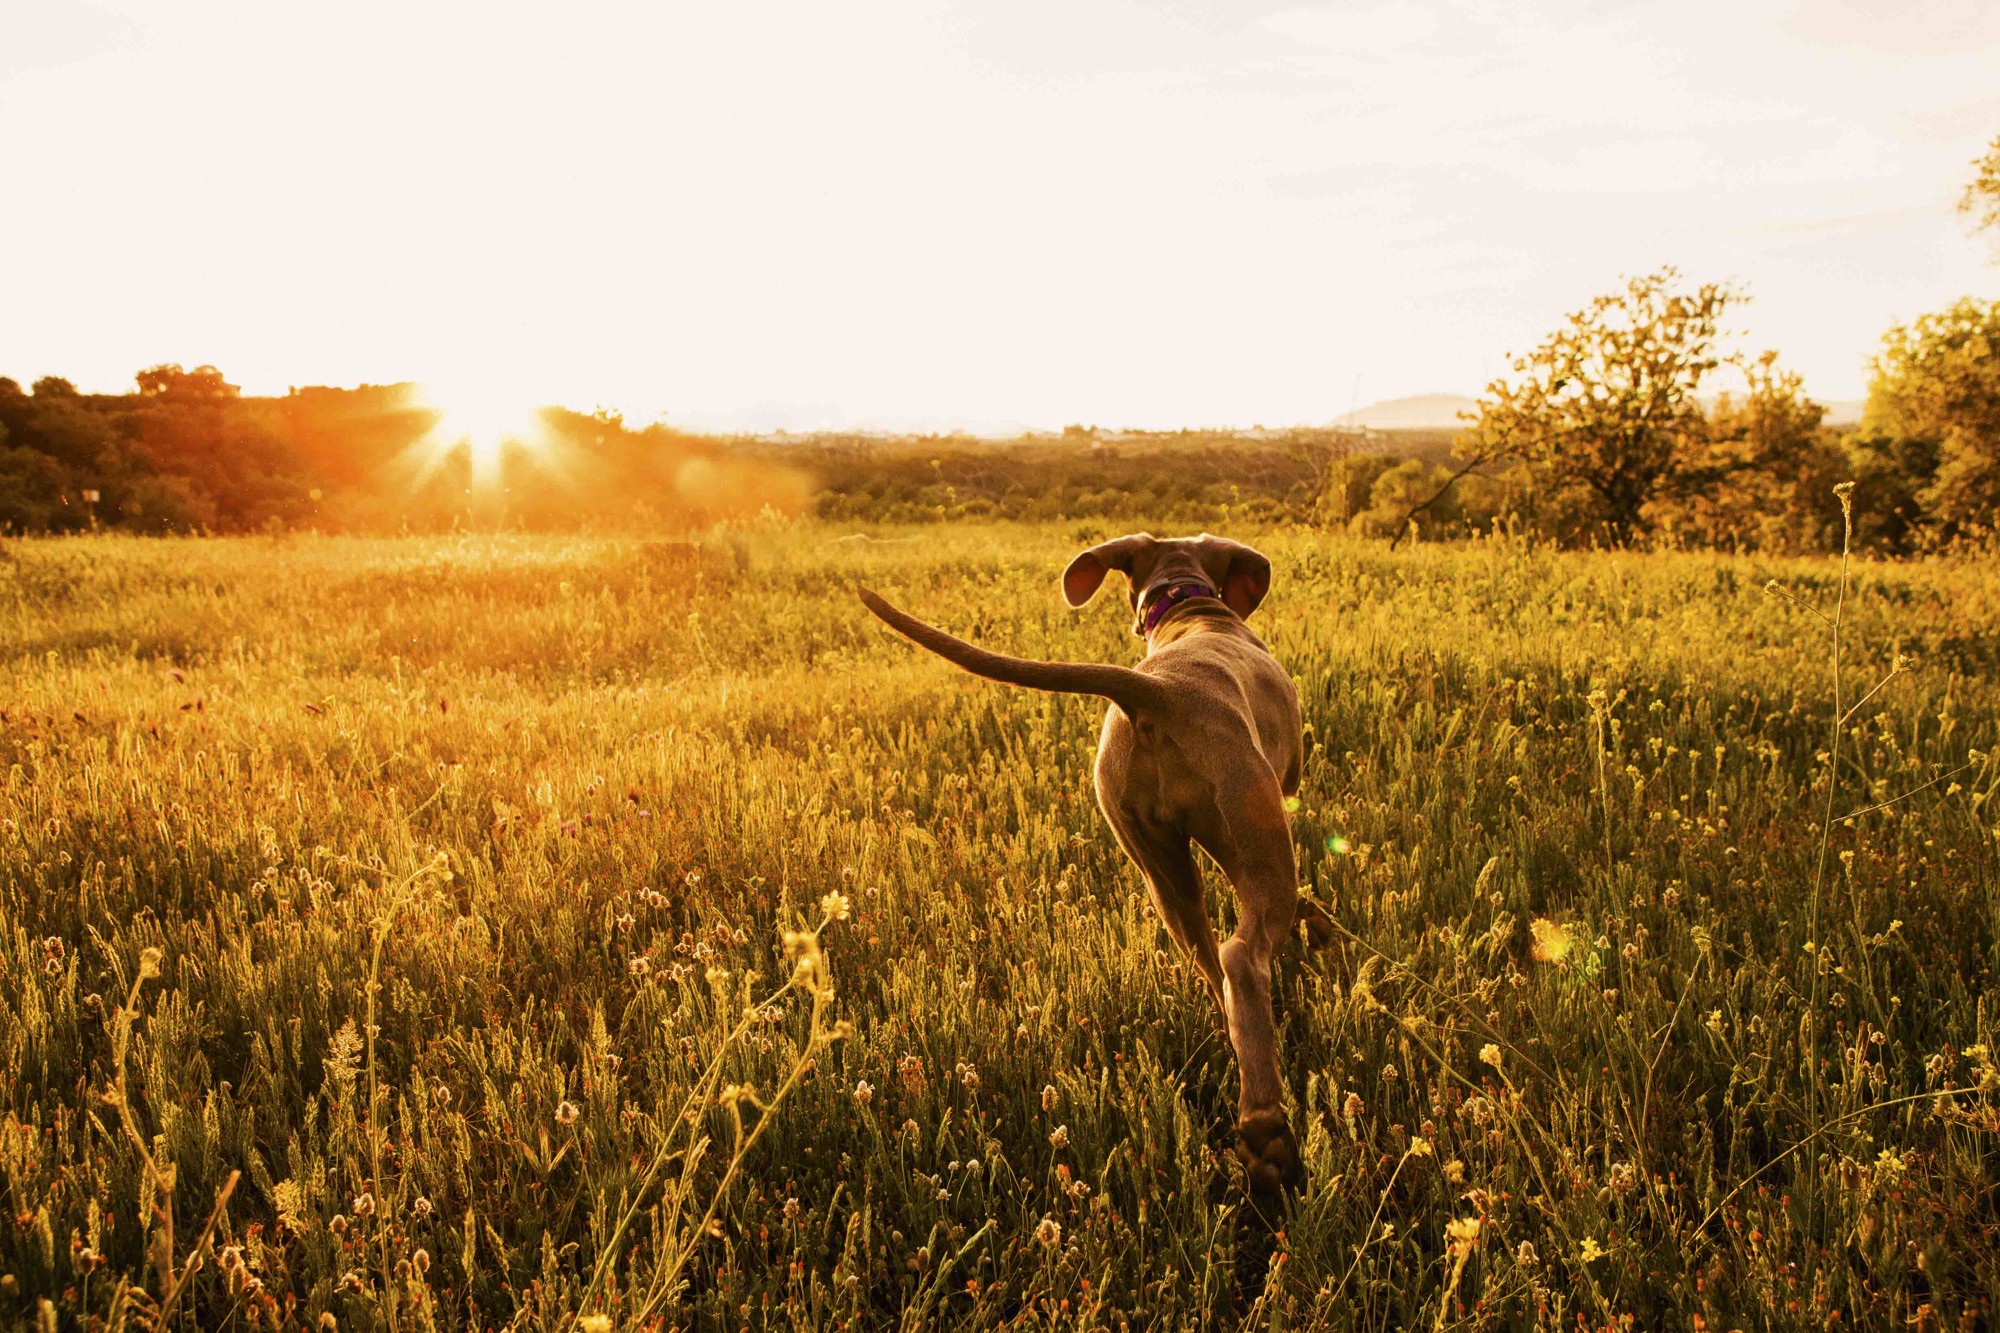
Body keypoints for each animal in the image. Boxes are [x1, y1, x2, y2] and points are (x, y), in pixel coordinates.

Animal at [856, 536, 1328, 1200]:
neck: (1194, 609)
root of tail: (1158, 694)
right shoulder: (1284, 793)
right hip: (1256, 840)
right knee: (1242, 955)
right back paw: (1267, 1134)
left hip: (1159, 866)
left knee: (1211, 961)